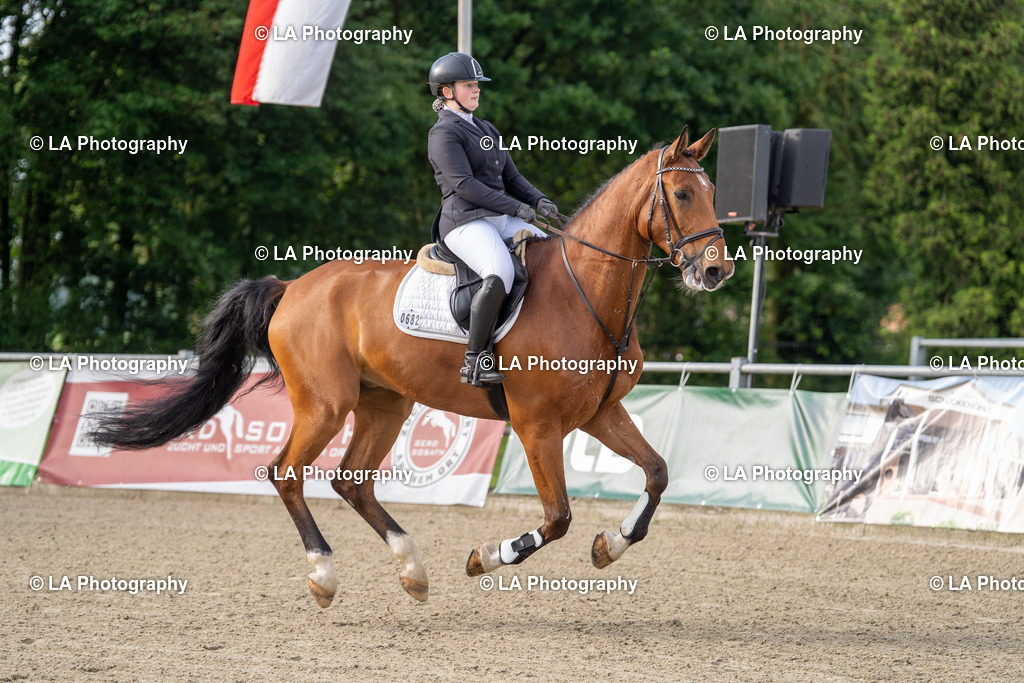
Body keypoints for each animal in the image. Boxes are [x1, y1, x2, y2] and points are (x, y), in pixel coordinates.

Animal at [90, 126, 734, 607]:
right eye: (681, 196)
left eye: (710, 194)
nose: (715, 270)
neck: (586, 294)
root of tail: (293, 286)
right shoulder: (537, 425)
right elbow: (557, 518)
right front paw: (484, 558)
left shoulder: (600, 413)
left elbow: (657, 474)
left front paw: (611, 544)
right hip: (325, 405)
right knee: (287, 474)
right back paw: (324, 575)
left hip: (385, 403)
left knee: (351, 480)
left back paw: (411, 569)